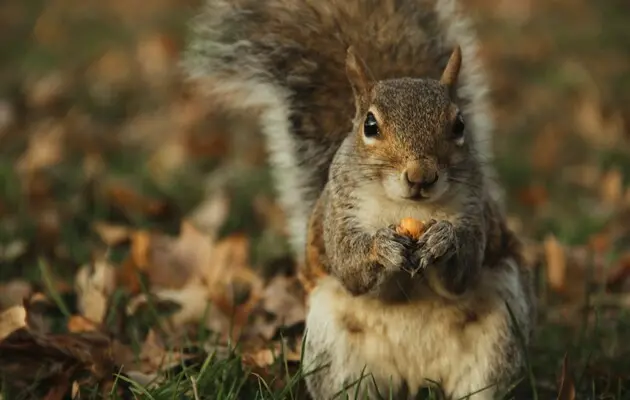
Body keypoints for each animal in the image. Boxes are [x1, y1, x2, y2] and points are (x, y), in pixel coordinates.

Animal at [183, 0, 540, 400]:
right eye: (370, 126)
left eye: (459, 125)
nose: (421, 176)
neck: (407, 208)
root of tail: (416, 378)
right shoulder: (340, 211)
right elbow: (351, 269)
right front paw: (381, 247)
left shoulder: (475, 211)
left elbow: (461, 275)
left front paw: (443, 239)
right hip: (337, 354)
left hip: (497, 342)